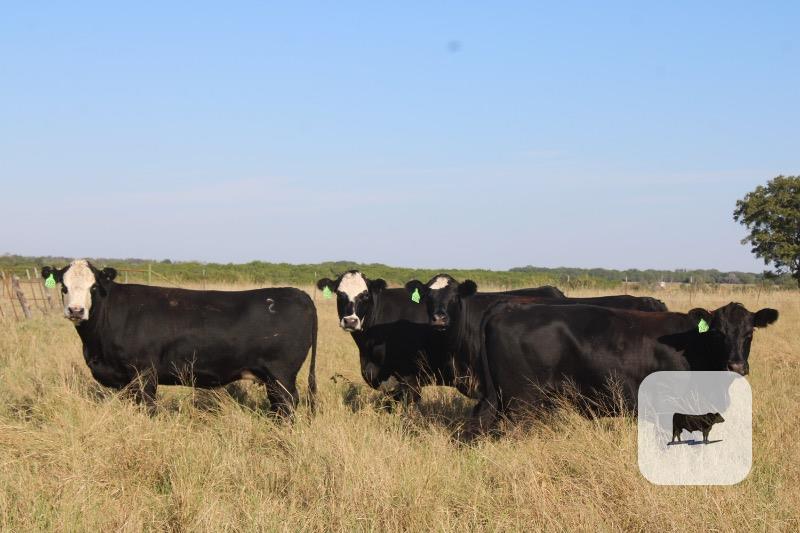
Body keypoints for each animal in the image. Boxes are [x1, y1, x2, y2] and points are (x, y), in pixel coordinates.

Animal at [42, 259, 317, 416]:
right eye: (63, 287)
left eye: (94, 287)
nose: (76, 310)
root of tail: (299, 293)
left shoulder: (144, 373)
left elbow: (148, 408)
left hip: (281, 374)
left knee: (288, 403)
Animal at [467, 301, 777, 436]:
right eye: (717, 333)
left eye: (749, 333)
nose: (736, 364)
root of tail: (507, 307)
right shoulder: (668, 408)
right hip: (521, 401)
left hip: (498, 397)